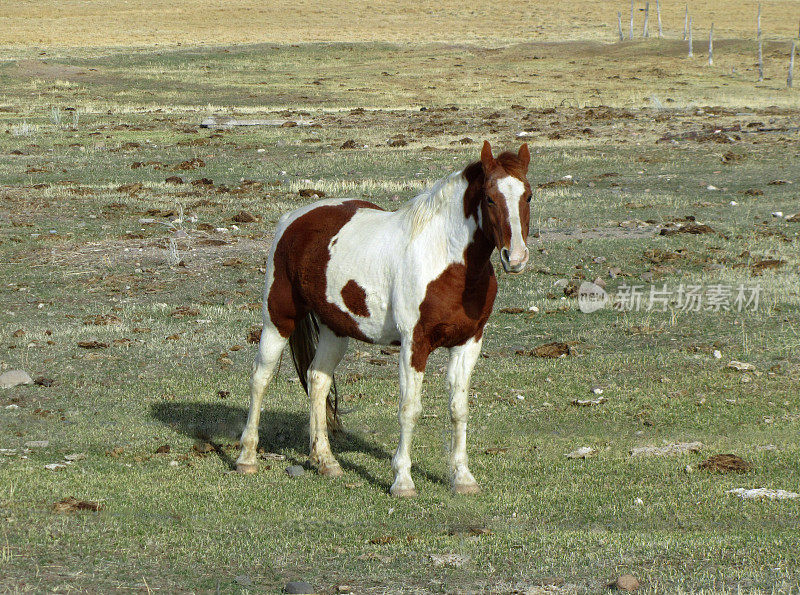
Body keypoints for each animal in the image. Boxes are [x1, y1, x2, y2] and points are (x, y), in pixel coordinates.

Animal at [239, 142, 536, 496]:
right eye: (490, 198)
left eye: (528, 196)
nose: (515, 258)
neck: (446, 260)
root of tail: (292, 220)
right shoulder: (414, 344)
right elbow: (410, 410)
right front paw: (403, 481)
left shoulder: (469, 342)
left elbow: (459, 410)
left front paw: (463, 478)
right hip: (277, 320)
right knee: (260, 378)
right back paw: (246, 458)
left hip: (335, 329)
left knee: (318, 381)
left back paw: (326, 461)